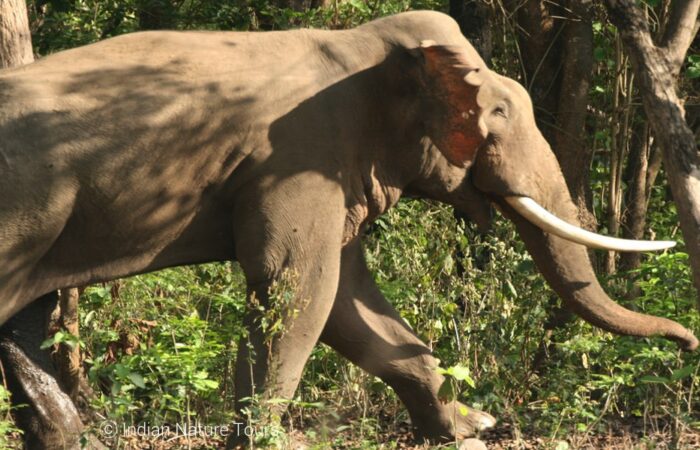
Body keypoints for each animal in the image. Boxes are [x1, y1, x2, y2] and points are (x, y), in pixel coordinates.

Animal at [0, 10, 696, 450]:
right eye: (497, 112)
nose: (689, 342)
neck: (356, 48)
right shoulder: (298, 156)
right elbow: (300, 290)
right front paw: (260, 440)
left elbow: (350, 301)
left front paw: (471, 427)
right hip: (24, 208)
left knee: (22, 319)